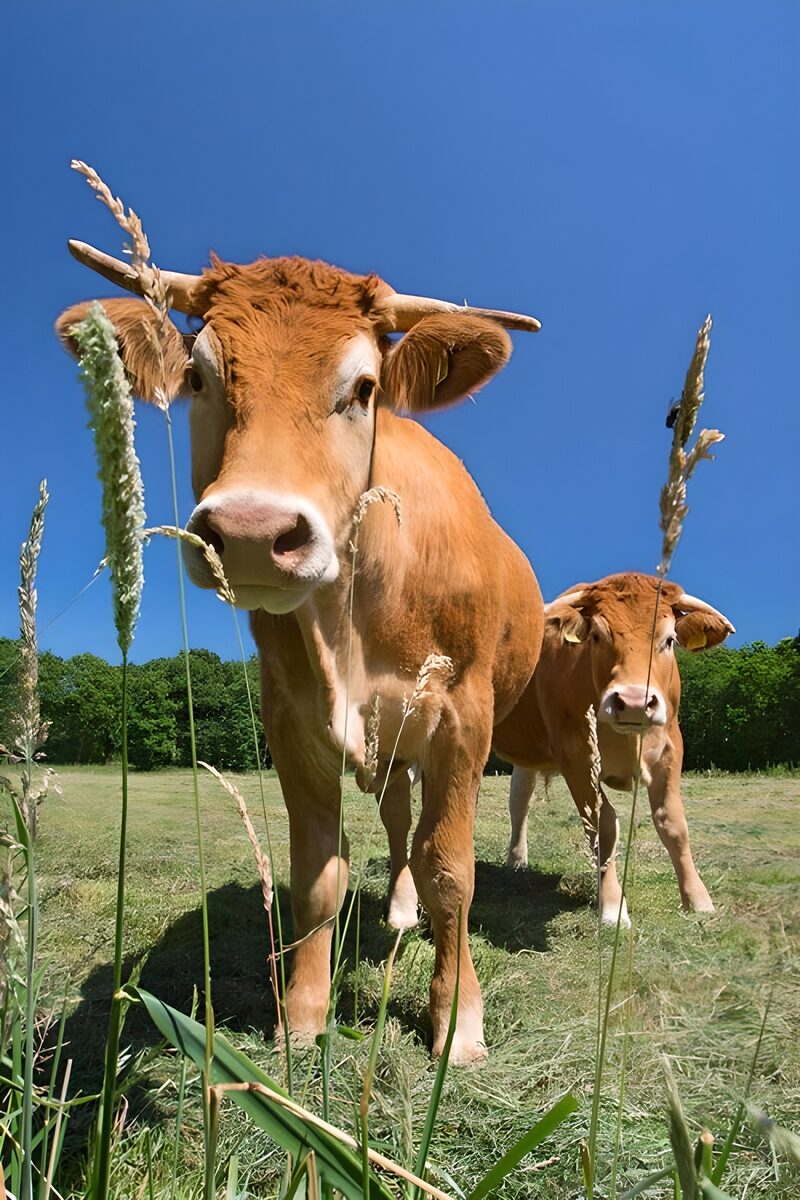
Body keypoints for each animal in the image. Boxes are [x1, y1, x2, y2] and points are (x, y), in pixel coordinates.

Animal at [57, 240, 544, 1063]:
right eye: (199, 376)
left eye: (364, 387)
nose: (253, 531)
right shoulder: (291, 719)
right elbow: (317, 875)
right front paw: (304, 1016)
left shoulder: (462, 715)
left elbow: (450, 870)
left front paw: (457, 1020)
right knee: (394, 822)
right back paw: (395, 911)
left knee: (413, 836)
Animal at [491, 573, 734, 925]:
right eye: (597, 636)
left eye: (669, 640)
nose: (633, 702)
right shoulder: (577, 756)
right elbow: (603, 825)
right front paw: (612, 906)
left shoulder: (670, 749)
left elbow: (673, 823)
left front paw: (698, 899)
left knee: (519, 797)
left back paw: (517, 861)